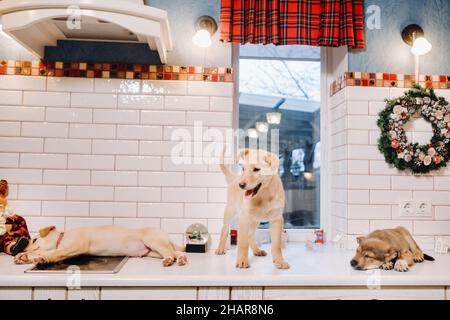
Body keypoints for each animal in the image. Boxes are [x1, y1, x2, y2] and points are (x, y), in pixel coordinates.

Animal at [14, 225, 186, 268]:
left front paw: (42, 258)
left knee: (169, 252)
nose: (20, 248)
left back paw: (169, 260)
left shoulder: (77, 246)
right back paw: (181, 259)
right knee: (174, 251)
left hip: (152, 240)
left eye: (35, 239)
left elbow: (55, 253)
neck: (62, 237)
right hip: (152, 251)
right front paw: (23, 257)